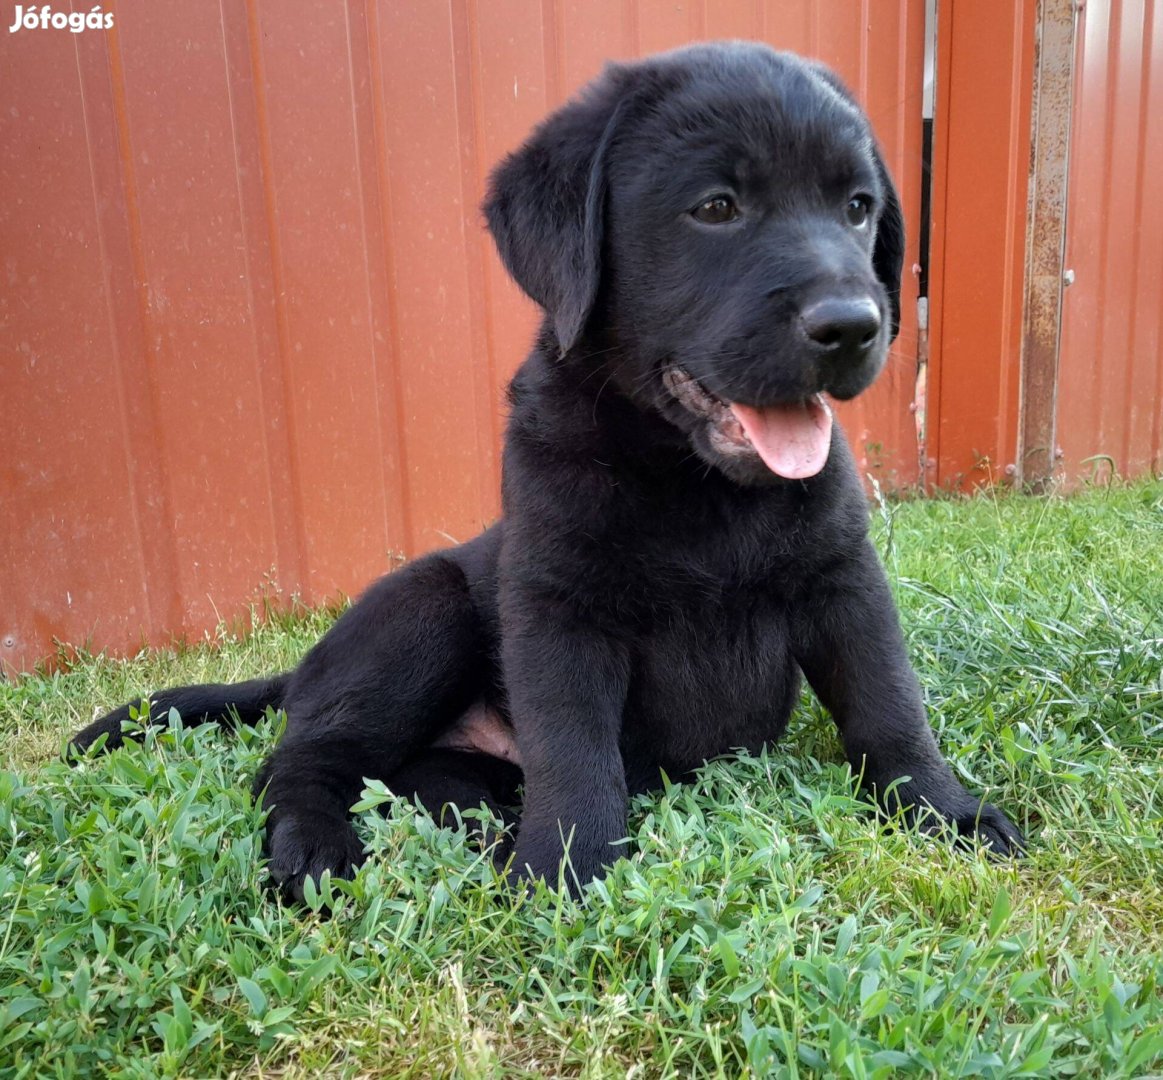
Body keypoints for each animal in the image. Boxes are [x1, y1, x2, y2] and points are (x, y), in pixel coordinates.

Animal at [72, 42, 1023, 897]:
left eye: (857, 208)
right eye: (716, 207)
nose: (854, 324)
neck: (693, 479)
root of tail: (304, 668)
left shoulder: (844, 579)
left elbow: (888, 707)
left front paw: (947, 813)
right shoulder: (559, 611)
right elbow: (573, 748)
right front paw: (569, 868)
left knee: (412, 781)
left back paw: (480, 830)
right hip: (421, 611)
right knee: (302, 759)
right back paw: (316, 848)